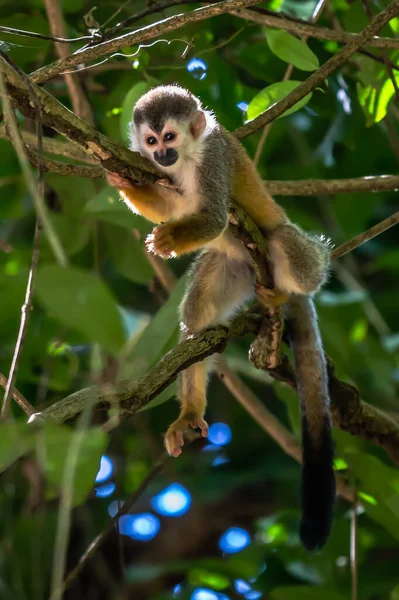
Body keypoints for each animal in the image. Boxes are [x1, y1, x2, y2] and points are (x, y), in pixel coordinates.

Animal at [105, 85, 334, 552]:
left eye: (170, 137)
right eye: (151, 142)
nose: (162, 156)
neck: (189, 157)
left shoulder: (213, 159)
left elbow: (209, 217)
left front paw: (170, 239)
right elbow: (171, 207)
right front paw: (125, 184)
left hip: (282, 254)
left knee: (287, 244)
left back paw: (286, 290)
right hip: (233, 267)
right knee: (197, 321)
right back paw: (191, 410)